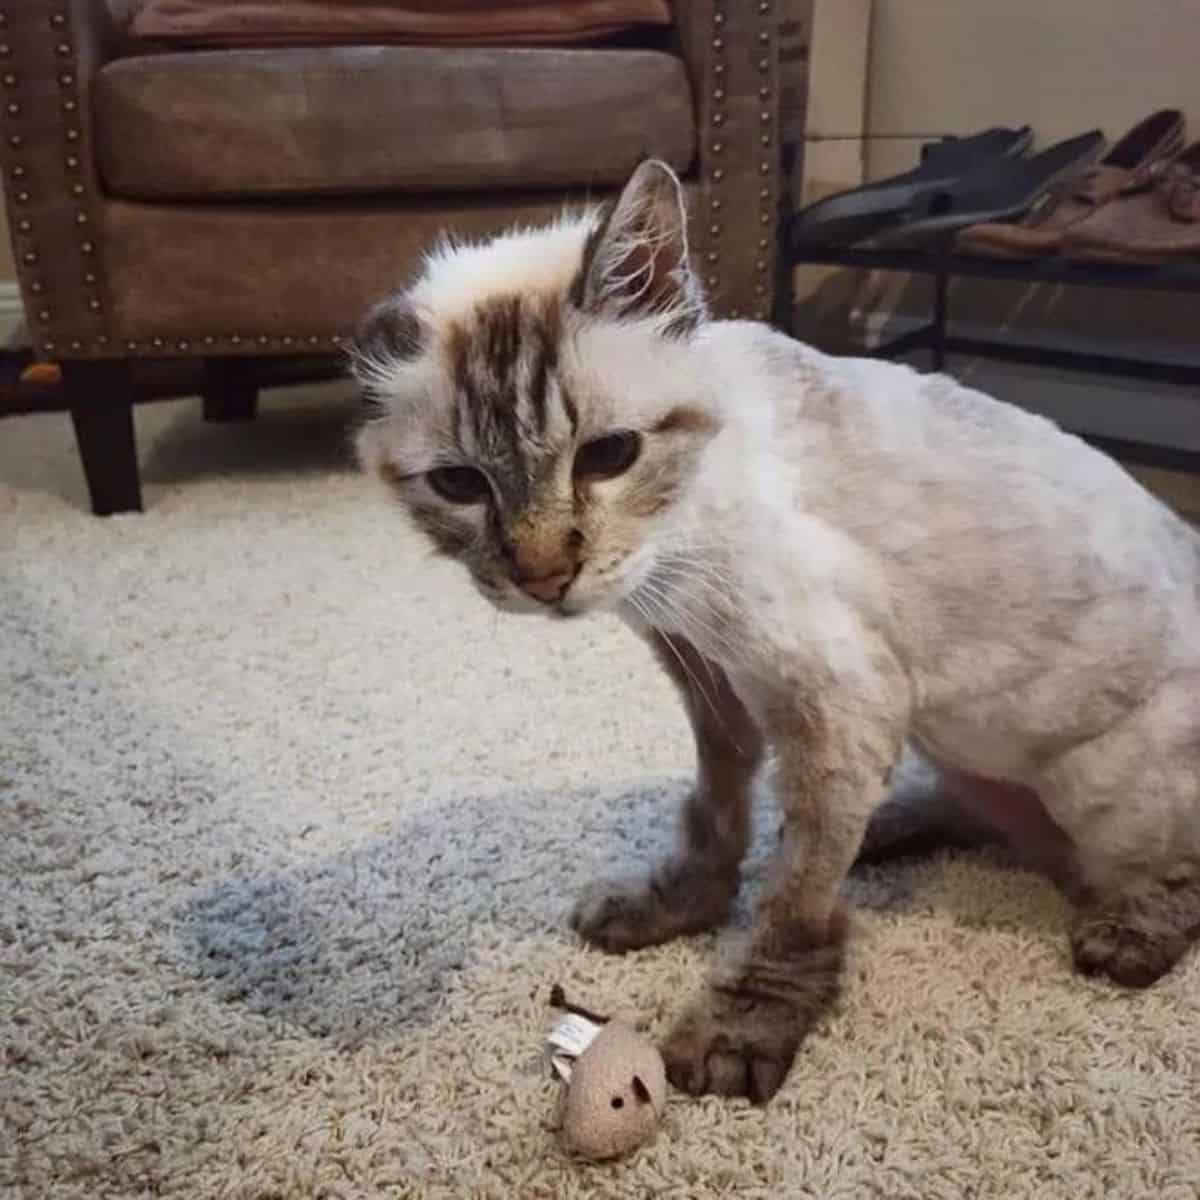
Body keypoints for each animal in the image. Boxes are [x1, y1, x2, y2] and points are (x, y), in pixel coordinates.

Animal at [350, 159, 1200, 1104]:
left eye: (608, 456)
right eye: (460, 485)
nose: (543, 579)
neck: (672, 558)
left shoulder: (832, 698)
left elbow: (794, 900)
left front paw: (741, 1025)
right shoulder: (709, 674)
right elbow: (718, 813)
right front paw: (679, 908)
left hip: (1093, 782)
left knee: (1168, 871)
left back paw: (1123, 933)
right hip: (952, 736)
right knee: (984, 812)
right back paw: (891, 828)